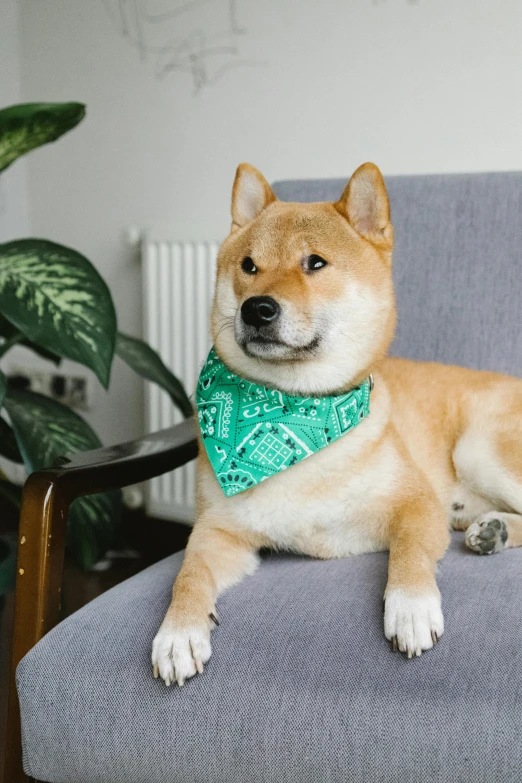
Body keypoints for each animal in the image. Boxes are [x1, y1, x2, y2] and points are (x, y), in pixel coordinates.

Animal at [149, 164, 520, 688]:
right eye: (248, 266)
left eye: (315, 263)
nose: (256, 308)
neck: (295, 411)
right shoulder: (217, 533)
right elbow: (188, 575)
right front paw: (178, 632)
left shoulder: (416, 504)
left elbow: (408, 552)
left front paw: (410, 607)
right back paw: (493, 530)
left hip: (480, 449)